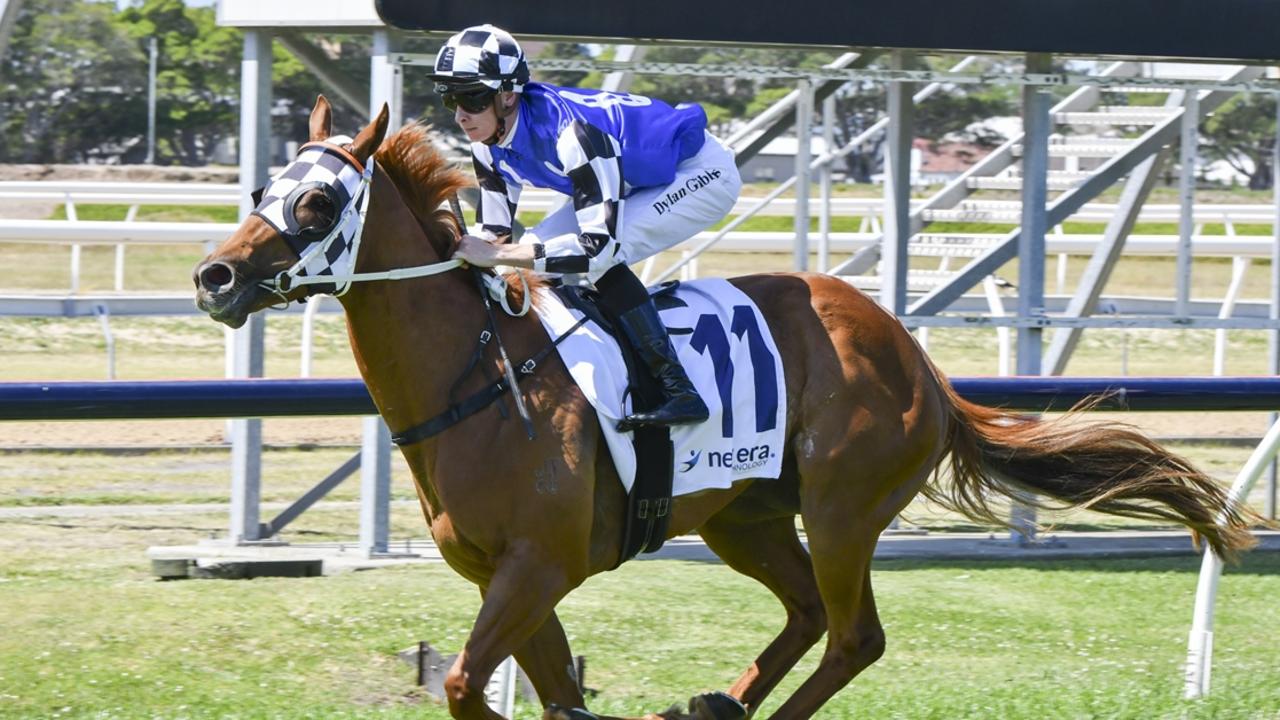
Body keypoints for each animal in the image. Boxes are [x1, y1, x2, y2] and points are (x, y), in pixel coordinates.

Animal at [194, 96, 1254, 717]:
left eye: (320, 202)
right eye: (265, 184)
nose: (214, 277)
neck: (484, 379)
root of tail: (917, 359)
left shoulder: (539, 566)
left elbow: (464, 686)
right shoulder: (508, 576)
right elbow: (551, 696)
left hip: (842, 509)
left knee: (854, 636)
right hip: (746, 517)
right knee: (806, 617)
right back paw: (719, 703)